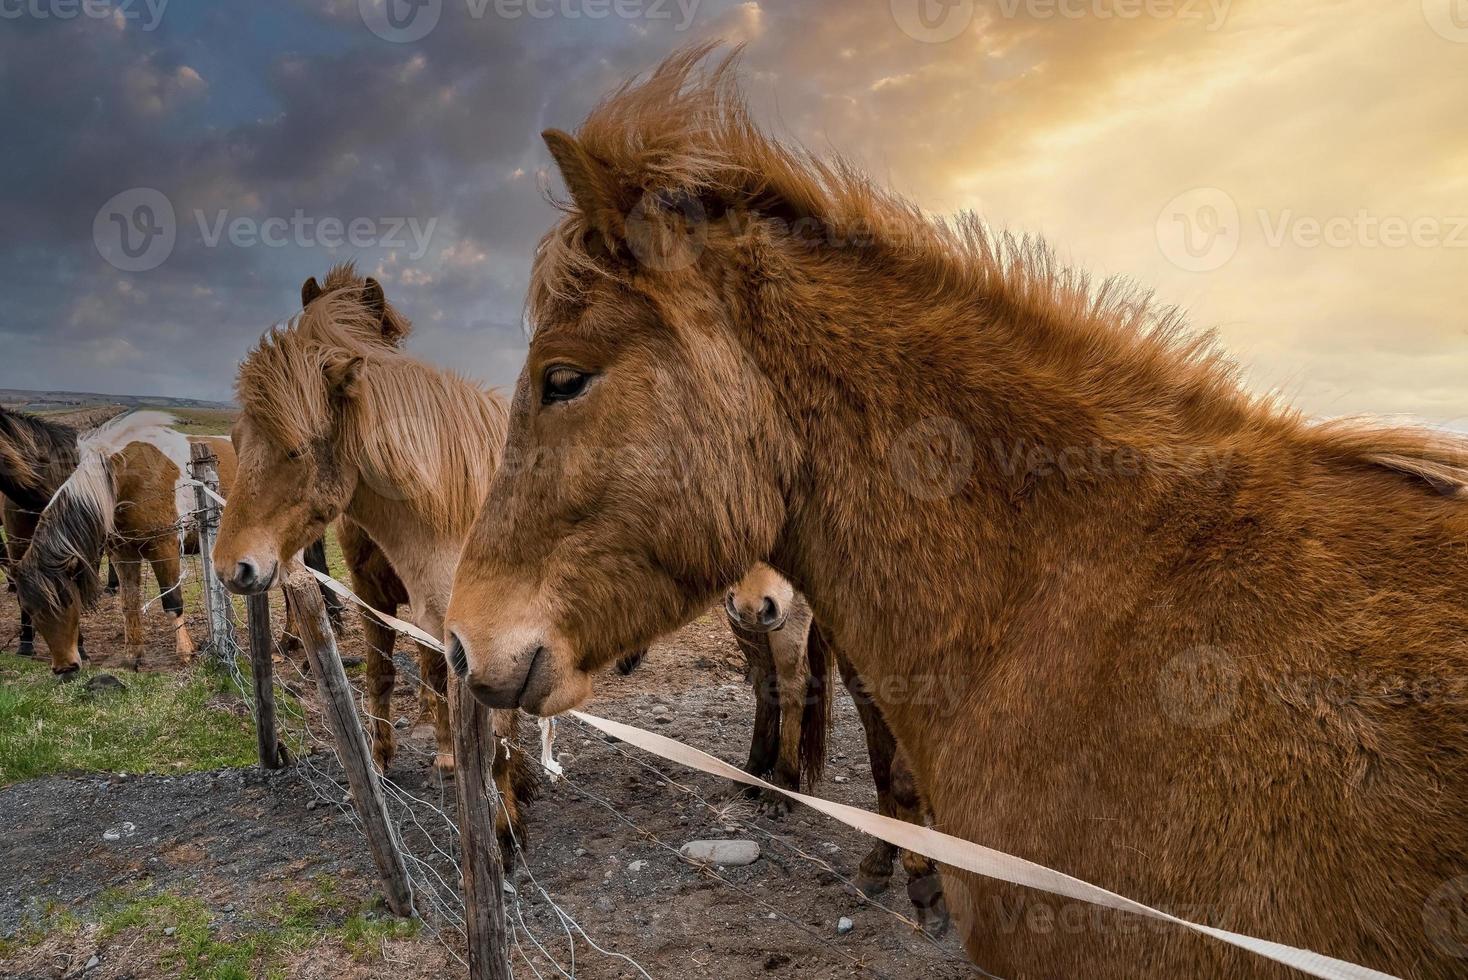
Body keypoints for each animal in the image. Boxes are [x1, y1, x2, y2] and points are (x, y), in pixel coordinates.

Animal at [214, 271, 537, 862]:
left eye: (296, 450)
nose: (232, 569)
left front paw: (504, 832)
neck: (462, 508)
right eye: (236, 440)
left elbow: (498, 737)